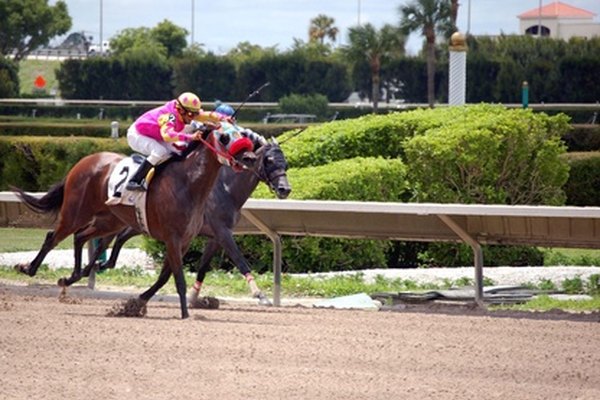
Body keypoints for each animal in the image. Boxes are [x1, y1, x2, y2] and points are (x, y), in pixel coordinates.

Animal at [13, 128, 253, 318]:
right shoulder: (172, 238)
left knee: (80, 236)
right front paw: (185, 315)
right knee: (53, 237)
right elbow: (179, 280)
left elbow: (165, 277)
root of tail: (84, 161)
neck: (188, 183)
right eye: (224, 137)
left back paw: (71, 277)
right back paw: (29, 268)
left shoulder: (184, 241)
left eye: (242, 133)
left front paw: (137, 304)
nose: (249, 157)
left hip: (109, 221)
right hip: (76, 213)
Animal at [90, 138, 292, 306]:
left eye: (286, 163)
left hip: (141, 221)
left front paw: (193, 298)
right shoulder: (222, 231)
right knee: (112, 238)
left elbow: (202, 267)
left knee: (119, 237)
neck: (225, 189)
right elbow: (240, 261)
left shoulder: (215, 236)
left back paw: (103, 264)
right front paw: (260, 295)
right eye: (269, 160)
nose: (285, 189)